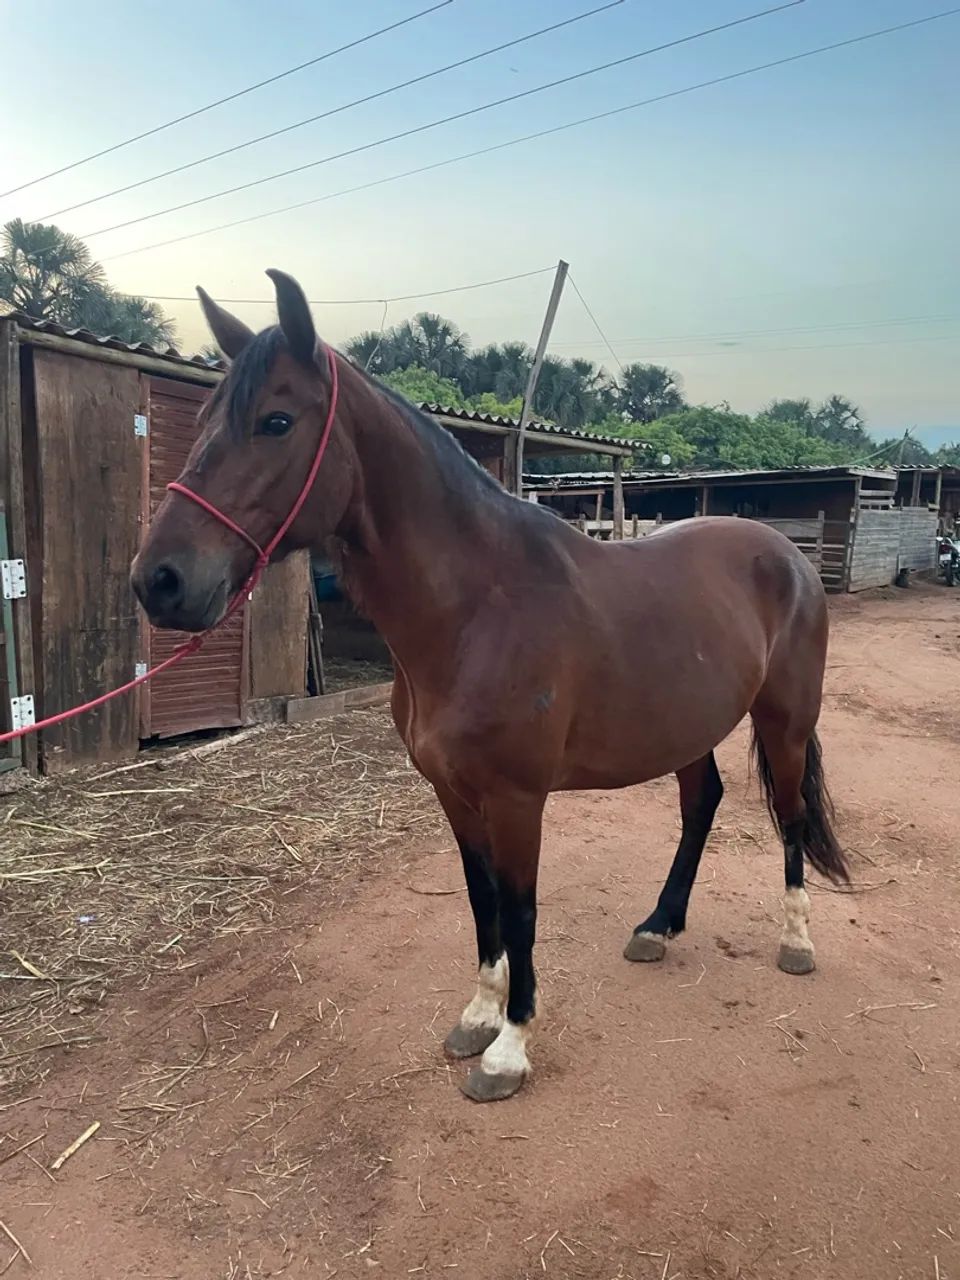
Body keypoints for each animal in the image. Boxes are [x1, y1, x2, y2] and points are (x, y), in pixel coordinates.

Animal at [131, 269, 849, 1104]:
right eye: (204, 420)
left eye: (275, 421)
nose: (159, 580)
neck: (478, 610)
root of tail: (787, 554)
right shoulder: (453, 792)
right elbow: (483, 905)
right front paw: (478, 1017)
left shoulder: (516, 800)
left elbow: (523, 909)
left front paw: (509, 1049)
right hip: (686, 725)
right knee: (702, 802)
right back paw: (657, 926)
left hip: (784, 721)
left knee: (791, 817)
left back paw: (796, 942)